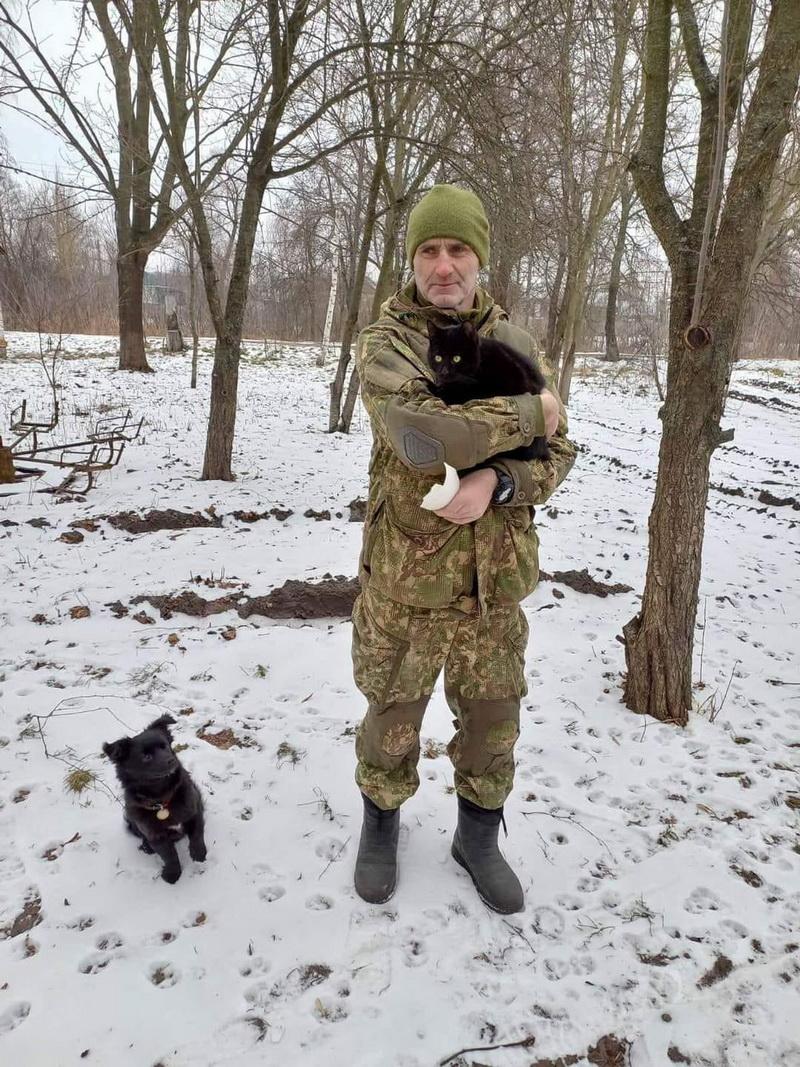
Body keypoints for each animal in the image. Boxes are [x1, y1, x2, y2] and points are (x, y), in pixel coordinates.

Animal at [103, 717, 206, 883]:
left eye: (165, 747)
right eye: (146, 757)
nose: (171, 760)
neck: (162, 801)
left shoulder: (194, 812)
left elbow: (197, 836)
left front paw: (199, 854)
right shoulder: (156, 836)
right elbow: (169, 856)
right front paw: (173, 873)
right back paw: (146, 847)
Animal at [428, 320, 554, 463]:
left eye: (456, 358)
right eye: (438, 358)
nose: (443, 372)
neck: (482, 359)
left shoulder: (516, 383)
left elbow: (470, 392)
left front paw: (434, 387)